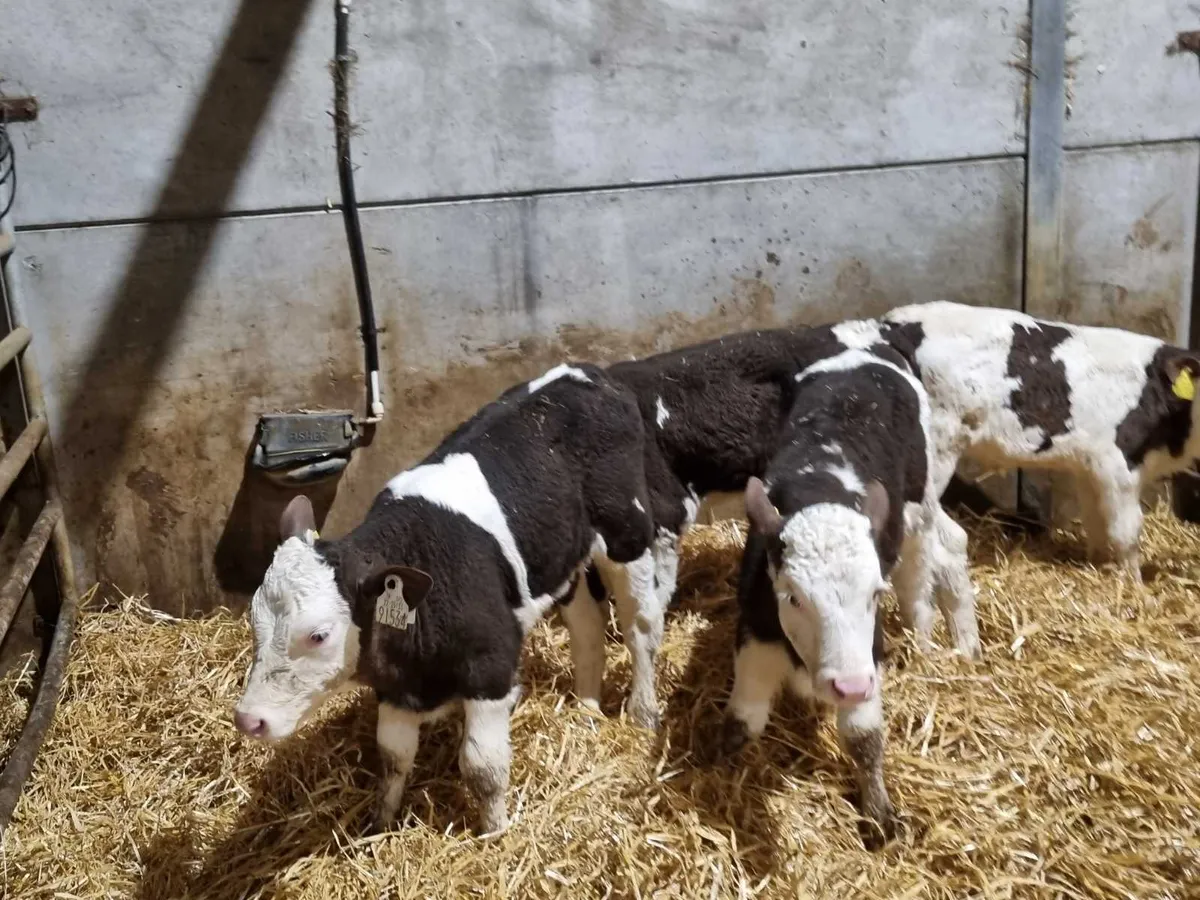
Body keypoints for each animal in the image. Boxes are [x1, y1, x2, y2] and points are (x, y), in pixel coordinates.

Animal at [232, 363, 660, 834]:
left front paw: (495, 832)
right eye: (254, 624)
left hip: (627, 532)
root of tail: (586, 371)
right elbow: (393, 758)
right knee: (587, 628)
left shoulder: (491, 667)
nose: (249, 719)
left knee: (640, 626)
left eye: (319, 635)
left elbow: (483, 767)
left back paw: (643, 713)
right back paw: (586, 709)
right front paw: (380, 824)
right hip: (562, 559)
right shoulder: (397, 687)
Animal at [721, 342, 979, 847]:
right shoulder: (755, 629)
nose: (849, 685)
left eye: (874, 596)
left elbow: (864, 736)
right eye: (792, 597)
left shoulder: (867, 654)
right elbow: (744, 720)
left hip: (920, 507)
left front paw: (879, 814)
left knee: (921, 575)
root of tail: (868, 350)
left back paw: (926, 639)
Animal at [880, 300, 1200, 580]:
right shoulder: (1119, 467)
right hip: (937, 448)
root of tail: (890, 324)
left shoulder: (1090, 467)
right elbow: (1127, 533)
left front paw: (1099, 568)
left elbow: (1096, 525)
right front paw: (1134, 585)